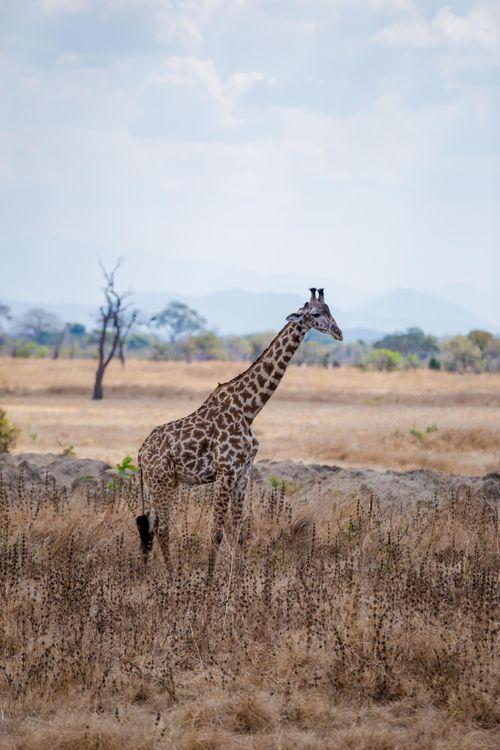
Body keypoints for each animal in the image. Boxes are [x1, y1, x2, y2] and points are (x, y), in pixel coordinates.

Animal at [136, 288, 343, 569]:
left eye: (330, 310)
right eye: (315, 314)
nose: (338, 333)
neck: (249, 410)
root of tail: (141, 452)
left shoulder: (243, 472)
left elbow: (240, 532)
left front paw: (239, 578)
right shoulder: (226, 471)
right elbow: (216, 531)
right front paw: (211, 579)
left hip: (163, 483)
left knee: (148, 525)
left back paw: (146, 573)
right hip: (162, 481)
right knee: (162, 528)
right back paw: (170, 575)